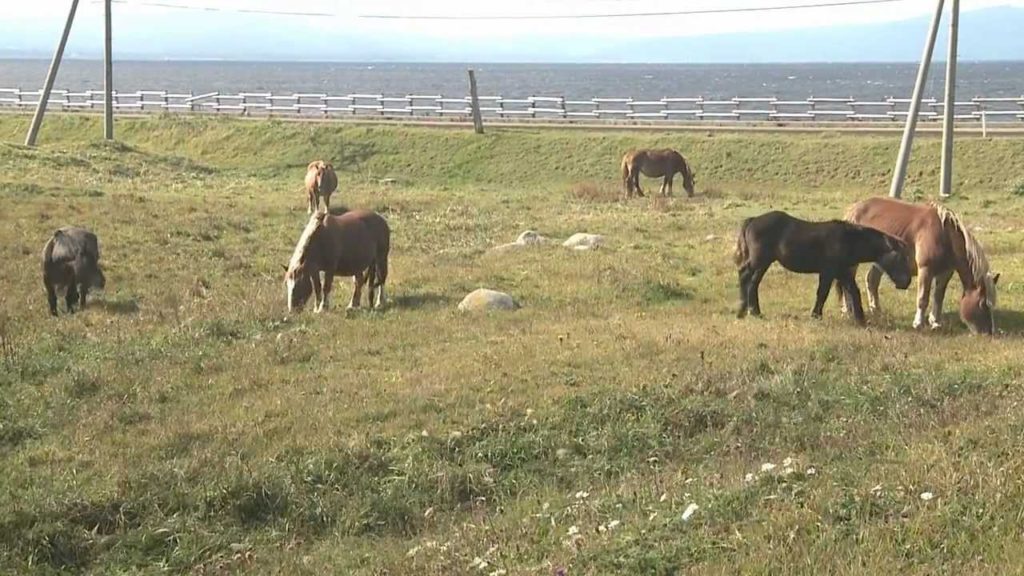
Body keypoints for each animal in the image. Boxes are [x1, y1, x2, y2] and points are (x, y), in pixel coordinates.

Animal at [734, 211, 911, 325]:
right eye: (901, 258)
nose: (906, 282)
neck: (849, 240)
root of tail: (753, 220)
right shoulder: (828, 272)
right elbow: (822, 294)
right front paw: (816, 315)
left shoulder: (843, 273)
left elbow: (854, 292)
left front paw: (860, 319)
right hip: (760, 261)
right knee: (744, 275)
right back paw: (743, 311)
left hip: (764, 263)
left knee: (753, 283)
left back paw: (752, 311)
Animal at [839, 197, 999, 334]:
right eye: (982, 304)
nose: (988, 332)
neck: (944, 235)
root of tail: (853, 209)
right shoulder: (925, 270)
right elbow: (923, 298)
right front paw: (918, 323)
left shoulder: (946, 272)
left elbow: (938, 297)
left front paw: (935, 322)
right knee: (847, 284)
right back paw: (847, 311)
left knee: (872, 280)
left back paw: (876, 310)